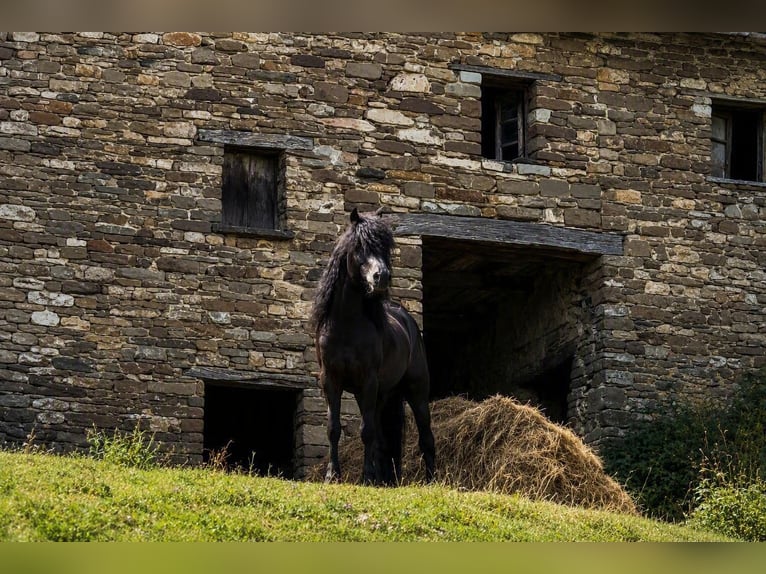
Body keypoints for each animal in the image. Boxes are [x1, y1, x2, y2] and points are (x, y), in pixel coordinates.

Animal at [311, 207, 435, 485]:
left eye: (384, 247)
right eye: (359, 246)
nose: (382, 277)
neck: (346, 325)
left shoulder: (367, 381)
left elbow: (365, 431)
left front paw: (366, 477)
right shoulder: (331, 380)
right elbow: (333, 428)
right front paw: (332, 475)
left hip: (416, 390)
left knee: (426, 436)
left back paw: (432, 480)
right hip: (381, 396)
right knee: (383, 439)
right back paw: (384, 479)